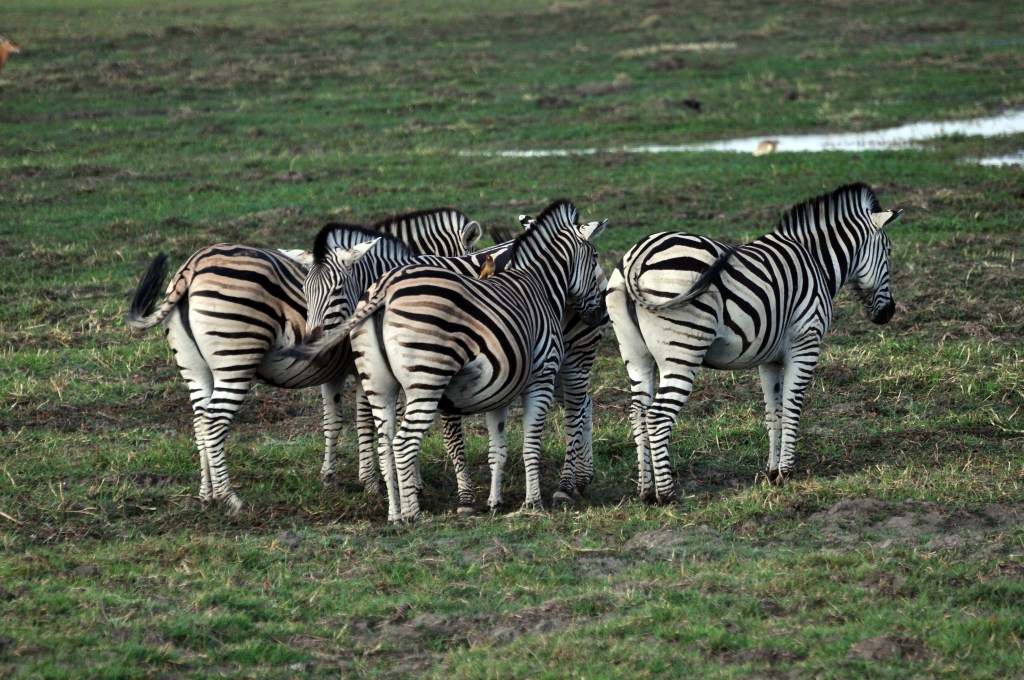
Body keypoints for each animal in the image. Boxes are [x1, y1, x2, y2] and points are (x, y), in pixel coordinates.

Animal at [126, 208, 480, 514]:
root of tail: (193, 263)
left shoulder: (334, 370)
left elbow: (333, 421)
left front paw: (331, 478)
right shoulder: (364, 367)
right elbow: (369, 421)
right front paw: (377, 483)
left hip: (195, 370)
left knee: (199, 421)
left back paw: (206, 495)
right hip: (235, 357)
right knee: (213, 421)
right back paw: (231, 499)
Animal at [292, 204, 608, 522]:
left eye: (336, 290)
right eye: (305, 291)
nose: (600, 312)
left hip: (573, 359)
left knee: (578, 409)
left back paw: (572, 483)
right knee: (579, 407)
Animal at [605, 183, 901, 503]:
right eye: (888, 251)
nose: (889, 313)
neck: (816, 262)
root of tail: (637, 256)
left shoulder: (769, 358)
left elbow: (774, 411)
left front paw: (773, 472)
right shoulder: (805, 344)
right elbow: (793, 406)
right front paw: (787, 472)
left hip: (636, 356)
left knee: (638, 413)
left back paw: (646, 491)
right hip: (683, 352)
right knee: (658, 417)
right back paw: (667, 494)